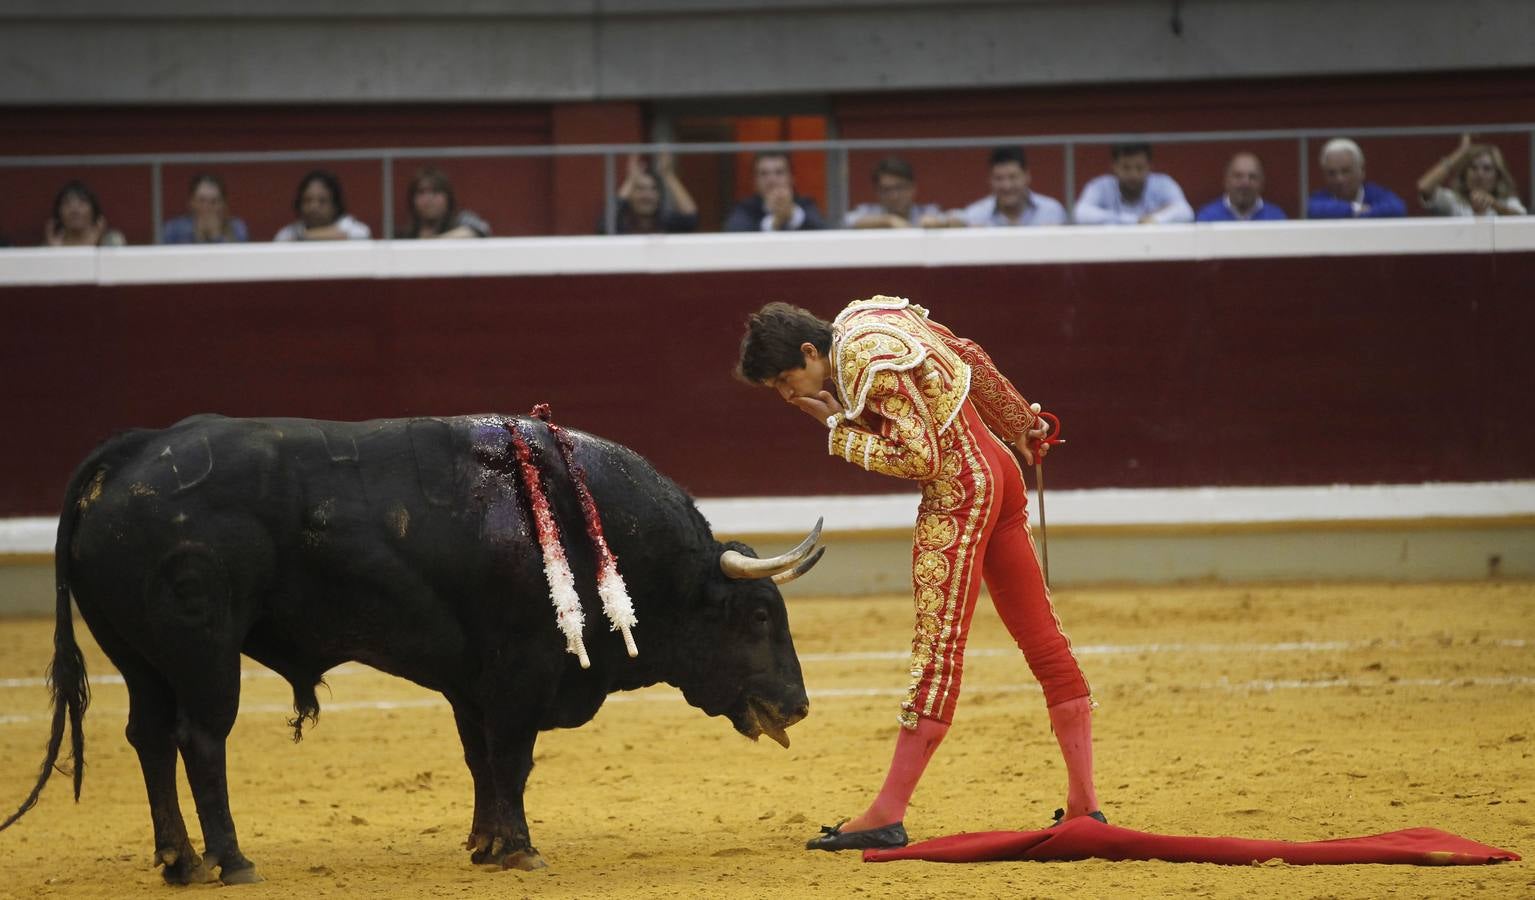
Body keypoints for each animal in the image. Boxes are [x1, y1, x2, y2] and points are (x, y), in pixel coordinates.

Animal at [2, 417, 816, 878]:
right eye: (757, 616)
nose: (800, 705)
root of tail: (128, 455)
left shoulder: (470, 684)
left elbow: (481, 760)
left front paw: (486, 845)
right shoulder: (520, 673)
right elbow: (513, 758)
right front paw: (521, 849)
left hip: (142, 659)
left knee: (148, 738)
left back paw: (178, 860)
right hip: (203, 655)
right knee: (200, 740)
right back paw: (230, 861)